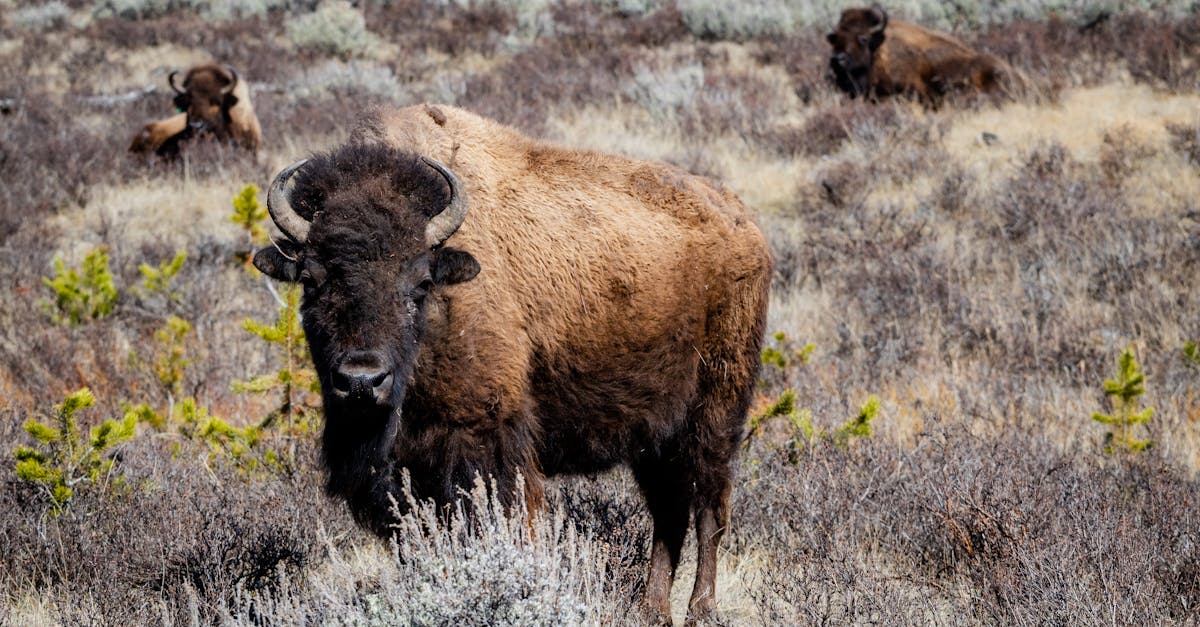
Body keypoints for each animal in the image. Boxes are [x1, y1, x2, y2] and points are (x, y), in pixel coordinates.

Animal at [252, 104, 772, 623]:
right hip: (654, 436)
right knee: (668, 513)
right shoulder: (403, 474)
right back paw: (651, 611)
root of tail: (746, 224)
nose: (362, 381)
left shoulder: (486, 445)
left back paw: (701, 610)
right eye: (311, 280)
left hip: (715, 414)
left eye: (420, 282)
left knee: (709, 509)